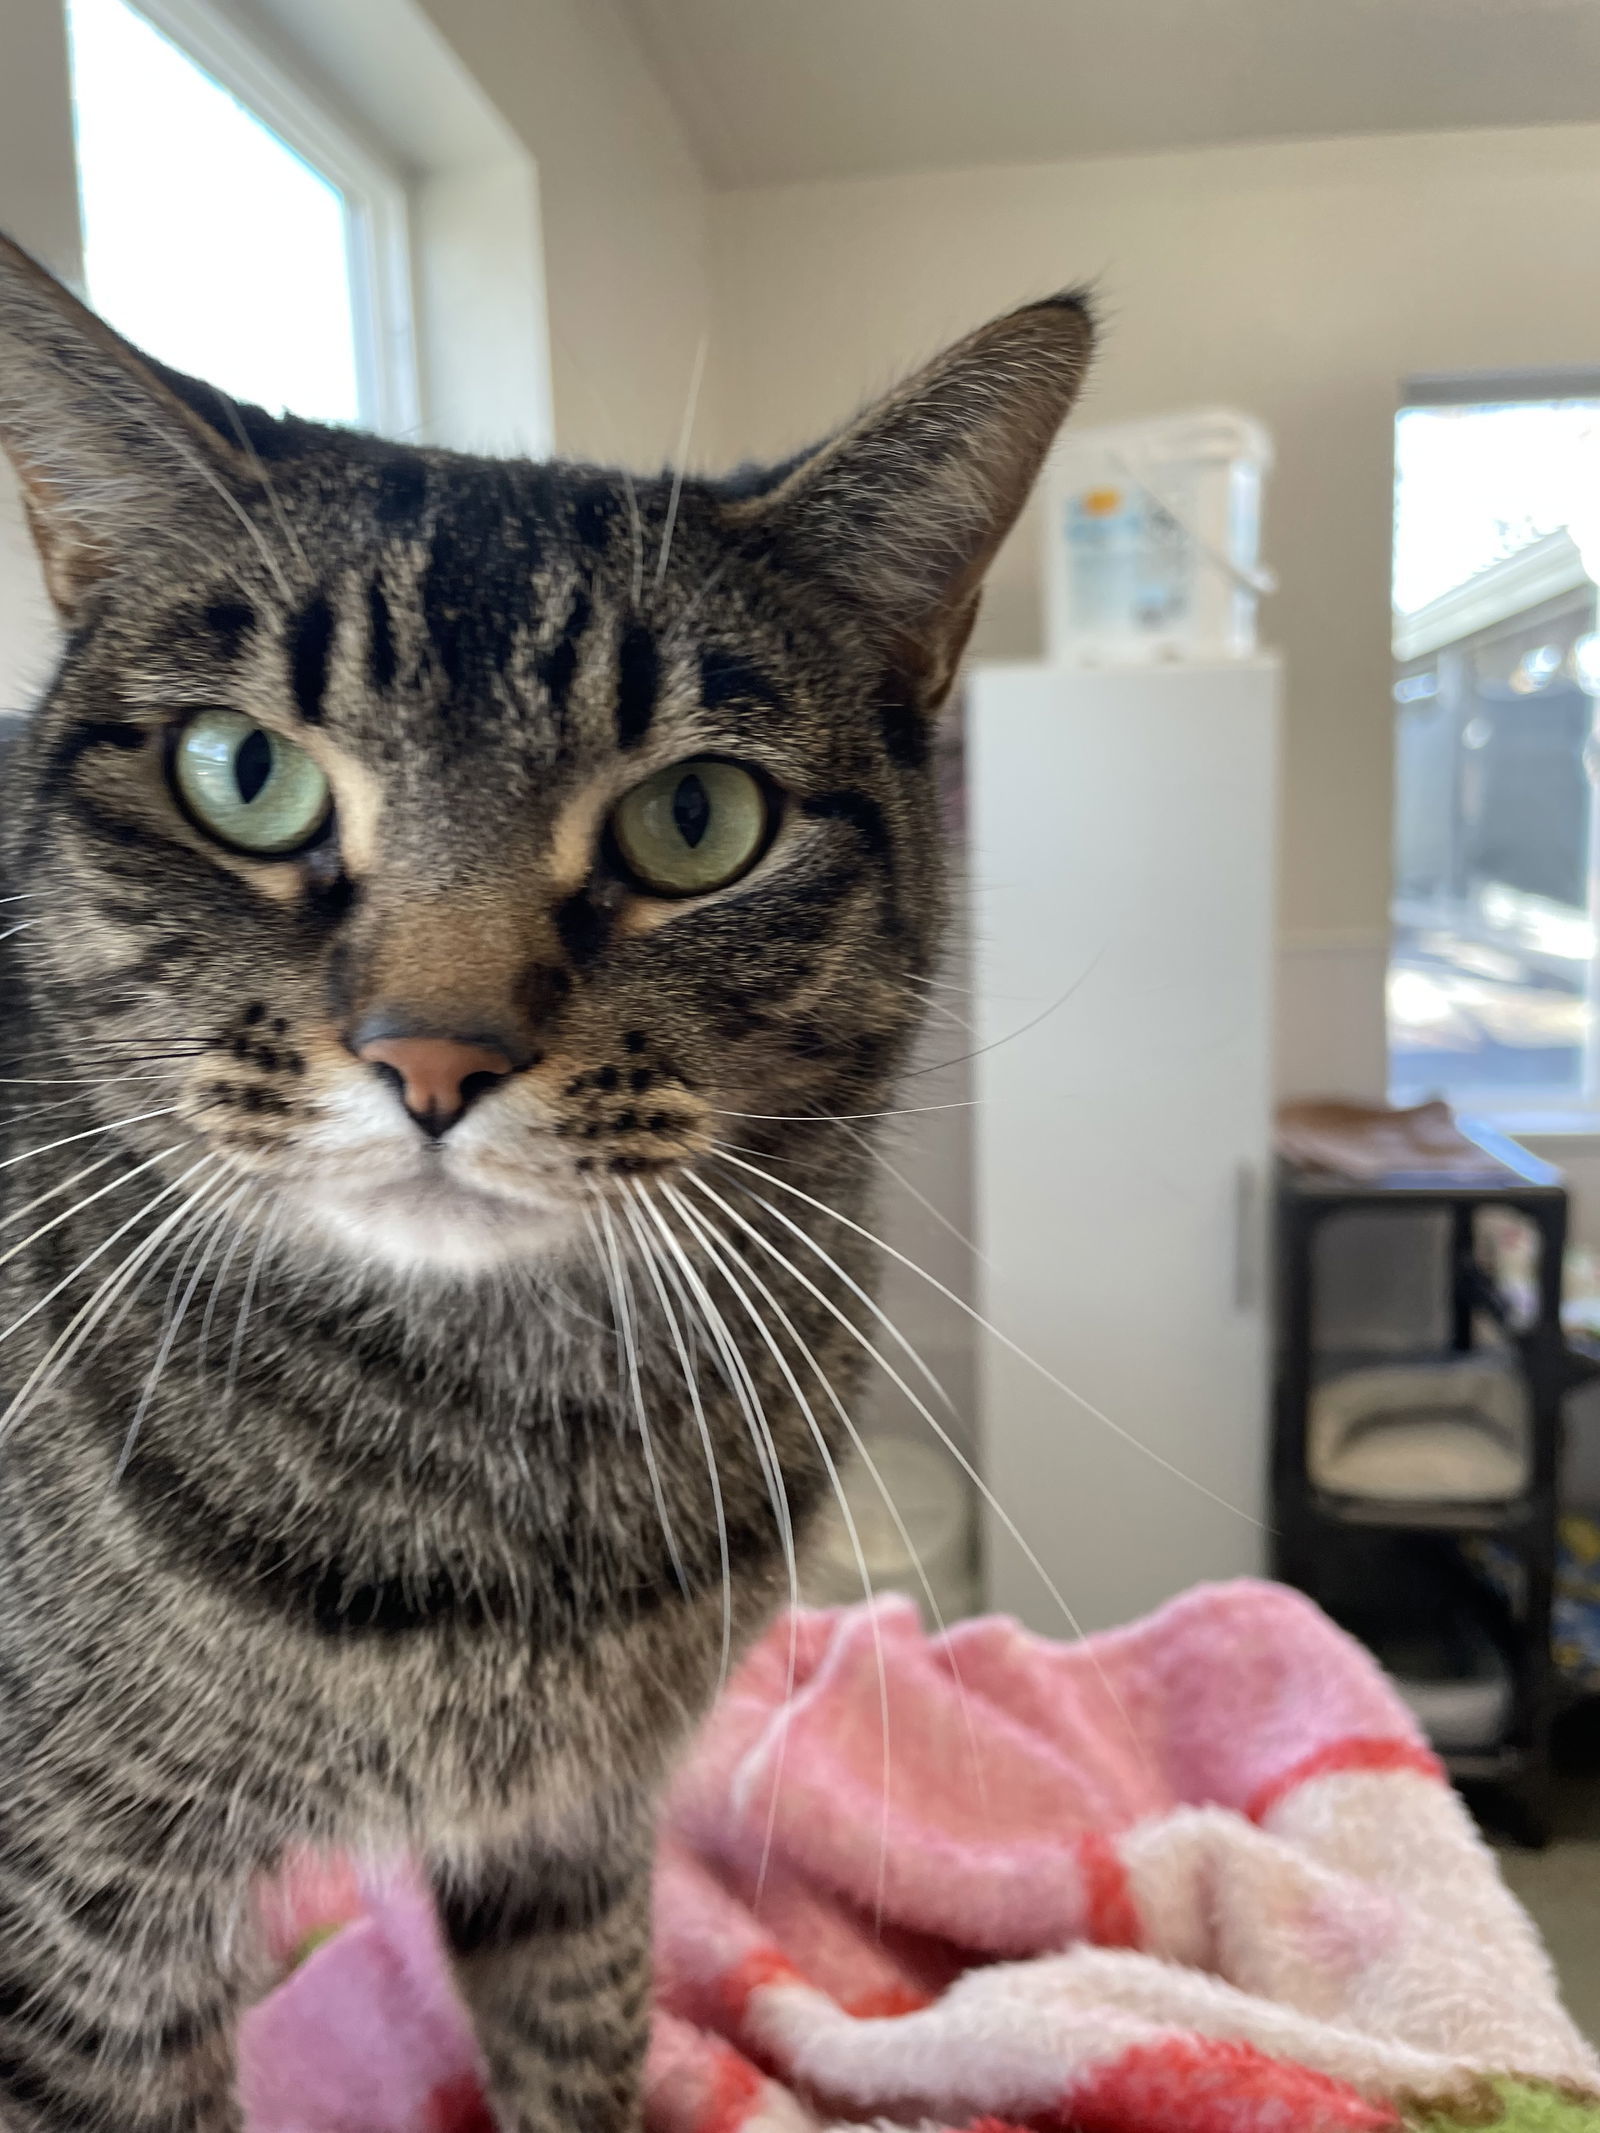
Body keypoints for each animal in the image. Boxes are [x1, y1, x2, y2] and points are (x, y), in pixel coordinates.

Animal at [0, 233, 1092, 2133]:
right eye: (242, 773)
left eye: (698, 818)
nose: (433, 1056)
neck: (490, 1455)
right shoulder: (84, 1921)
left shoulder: (574, 1827)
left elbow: (585, 2048)